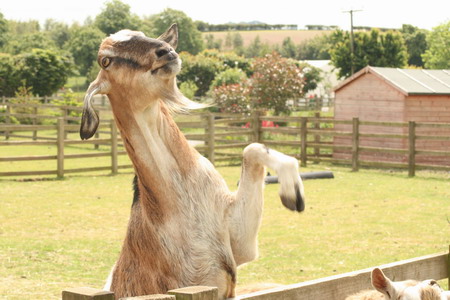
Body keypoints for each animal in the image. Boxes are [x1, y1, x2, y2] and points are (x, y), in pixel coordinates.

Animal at [81, 24, 306, 300]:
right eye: (106, 60)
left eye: (142, 34)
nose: (165, 51)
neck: (184, 199)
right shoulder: (199, 280)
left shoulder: (238, 242)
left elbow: (252, 148)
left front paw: (293, 194)